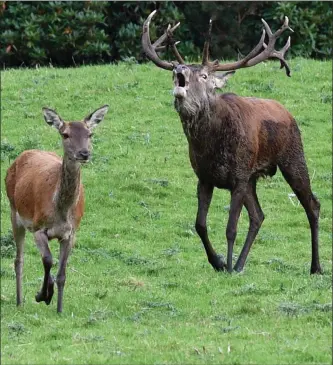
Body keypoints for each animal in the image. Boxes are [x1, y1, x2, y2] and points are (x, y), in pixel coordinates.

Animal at [5, 104, 109, 310]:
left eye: (90, 134)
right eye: (65, 134)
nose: (84, 153)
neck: (60, 213)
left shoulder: (71, 233)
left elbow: (62, 274)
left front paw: (59, 308)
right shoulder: (38, 227)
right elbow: (48, 260)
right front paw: (42, 295)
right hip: (14, 211)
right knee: (19, 259)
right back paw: (19, 301)